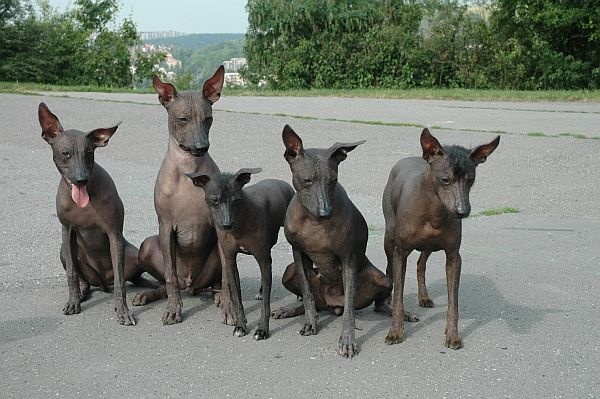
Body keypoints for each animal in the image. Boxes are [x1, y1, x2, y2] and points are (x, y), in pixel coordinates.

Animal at [38, 101, 154, 326]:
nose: (81, 179)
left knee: (131, 278)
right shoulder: (67, 231)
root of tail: (102, 282)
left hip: (134, 254)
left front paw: (123, 311)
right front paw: (73, 302)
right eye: (66, 153)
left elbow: (120, 281)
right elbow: (72, 273)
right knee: (82, 278)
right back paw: (82, 293)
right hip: (64, 252)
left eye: (89, 153)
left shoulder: (114, 234)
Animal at [185, 169, 292, 340]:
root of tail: (282, 182)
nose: (227, 225)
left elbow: (265, 305)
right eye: (214, 200)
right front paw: (241, 325)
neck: (240, 223)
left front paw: (262, 330)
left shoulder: (262, 259)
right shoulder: (230, 262)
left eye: (237, 200)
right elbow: (237, 298)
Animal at [278, 125, 392, 360]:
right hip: (288, 272)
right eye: (307, 180)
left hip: (383, 280)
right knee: (311, 301)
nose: (325, 213)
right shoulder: (298, 254)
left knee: (376, 304)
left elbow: (349, 308)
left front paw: (347, 341)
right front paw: (310, 323)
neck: (313, 221)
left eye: (332, 180)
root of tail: (330, 305)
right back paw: (291, 311)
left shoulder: (348, 259)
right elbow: (307, 294)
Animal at [382, 129, 500, 350]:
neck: (434, 211)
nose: (462, 211)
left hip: (429, 247)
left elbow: (453, 303)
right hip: (389, 240)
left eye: (470, 180)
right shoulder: (400, 254)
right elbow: (399, 296)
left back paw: (424, 296)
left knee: (420, 265)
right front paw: (395, 331)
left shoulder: (454, 257)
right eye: (445, 179)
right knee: (389, 272)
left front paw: (453, 334)